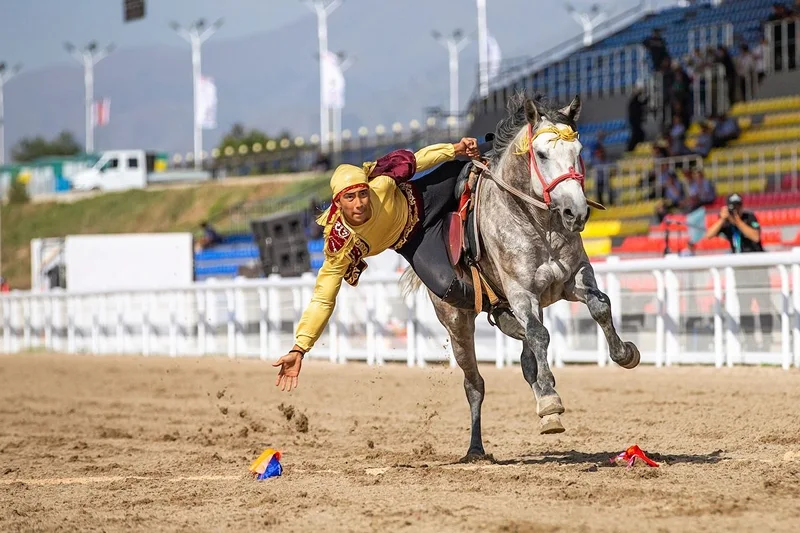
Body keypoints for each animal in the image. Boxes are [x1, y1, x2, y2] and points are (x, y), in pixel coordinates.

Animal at [404, 92, 640, 462]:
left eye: (579, 150)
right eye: (541, 154)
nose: (576, 212)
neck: (539, 224)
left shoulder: (573, 279)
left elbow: (600, 305)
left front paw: (624, 353)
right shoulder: (521, 293)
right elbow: (541, 336)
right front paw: (551, 403)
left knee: (527, 355)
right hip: (457, 322)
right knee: (475, 382)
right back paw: (477, 447)